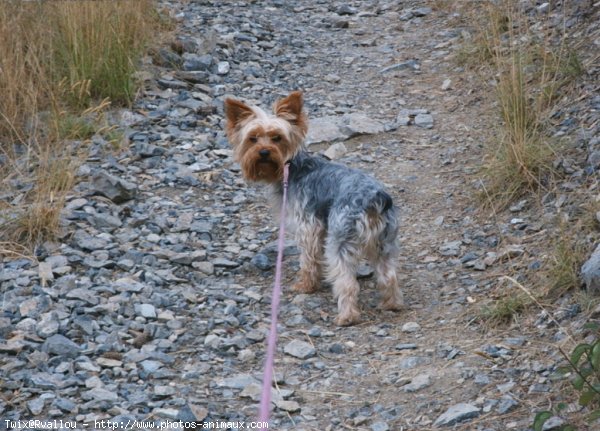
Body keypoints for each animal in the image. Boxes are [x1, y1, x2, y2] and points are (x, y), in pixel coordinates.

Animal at [224, 93, 404, 326]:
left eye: (277, 138)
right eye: (252, 139)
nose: (264, 152)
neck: (291, 168)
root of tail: (375, 199)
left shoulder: (308, 227)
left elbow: (308, 259)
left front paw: (306, 286)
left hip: (341, 240)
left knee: (347, 281)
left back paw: (347, 316)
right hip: (385, 240)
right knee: (388, 274)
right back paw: (391, 304)